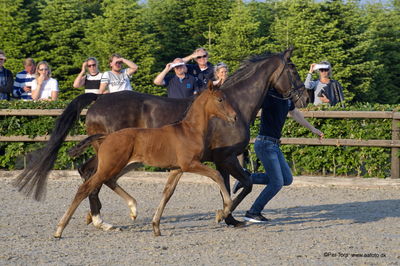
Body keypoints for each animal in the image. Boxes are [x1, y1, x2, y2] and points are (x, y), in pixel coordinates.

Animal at [55, 83, 238, 237]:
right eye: (220, 99)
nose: (234, 117)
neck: (189, 130)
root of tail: (107, 136)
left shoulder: (177, 169)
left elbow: (167, 193)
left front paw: (156, 226)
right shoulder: (190, 164)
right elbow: (217, 175)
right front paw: (222, 212)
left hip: (127, 164)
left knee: (109, 180)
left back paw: (132, 209)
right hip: (111, 165)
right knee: (85, 188)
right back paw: (60, 228)